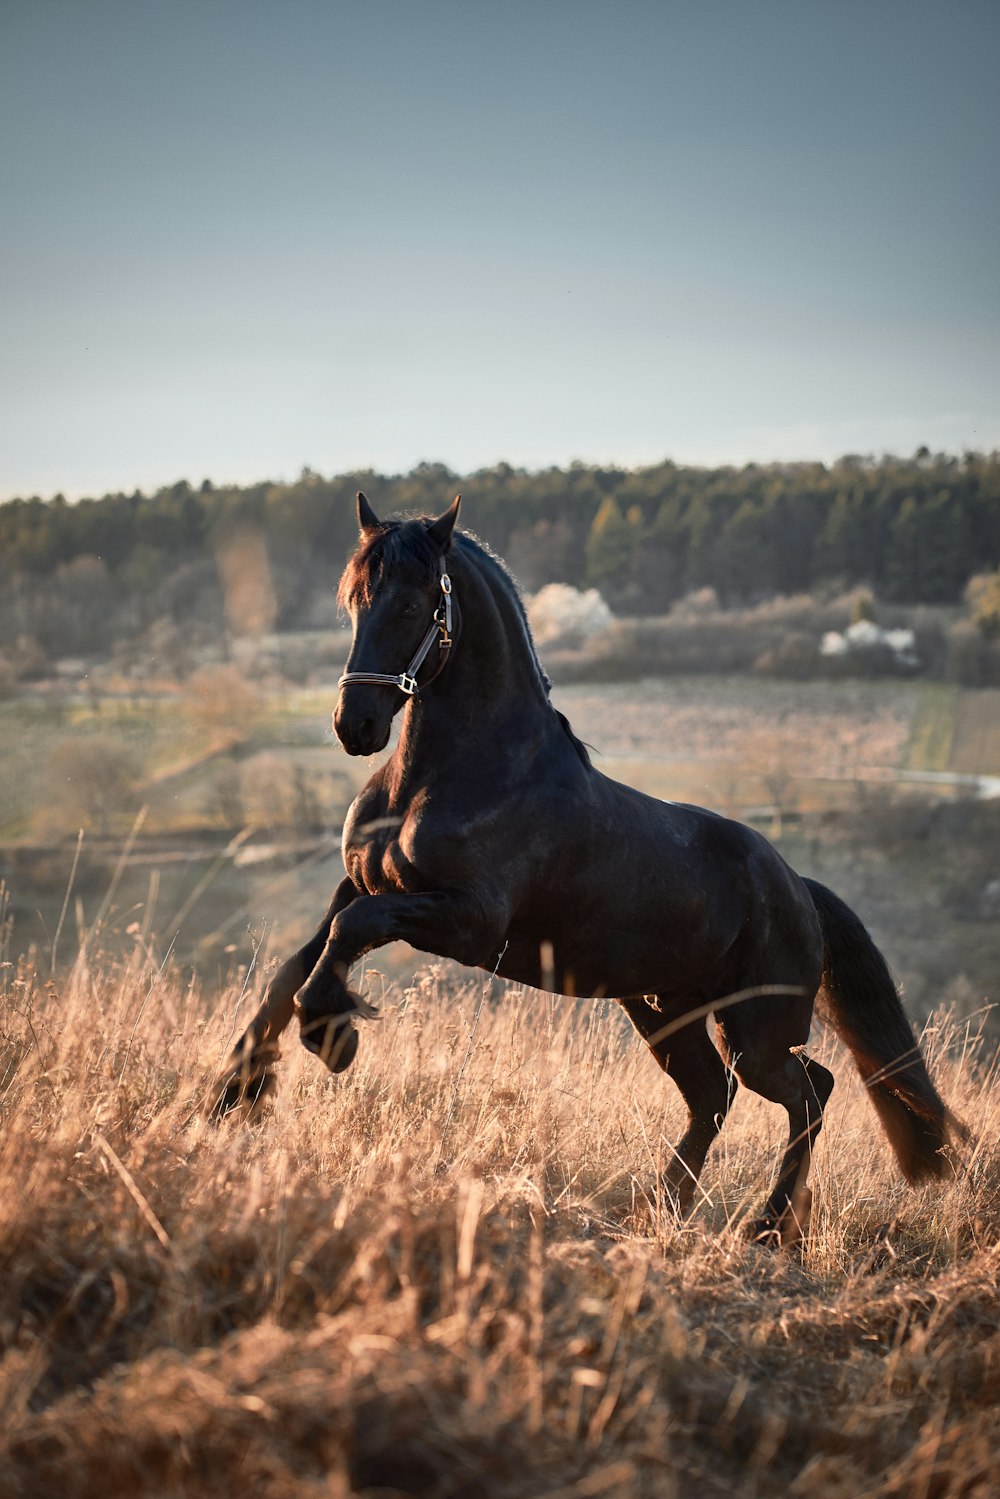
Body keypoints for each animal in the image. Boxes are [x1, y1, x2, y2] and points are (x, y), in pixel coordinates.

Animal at [212, 494, 959, 1241]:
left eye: (413, 602)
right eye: (354, 600)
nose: (355, 725)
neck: (455, 774)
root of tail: (799, 889)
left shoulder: (466, 921)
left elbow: (343, 943)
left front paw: (332, 1036)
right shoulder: (360, 885)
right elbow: (298, 965)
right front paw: (232, 1093)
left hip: (757, 1031)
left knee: (807, 1092)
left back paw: (767, 1228)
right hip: (665, 1012)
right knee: (715, 1096)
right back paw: (663, 1207)